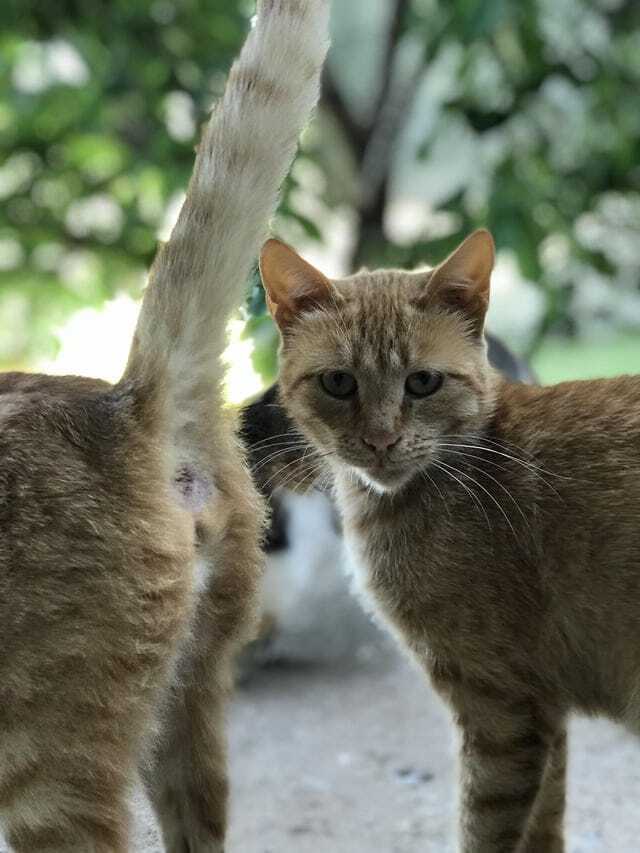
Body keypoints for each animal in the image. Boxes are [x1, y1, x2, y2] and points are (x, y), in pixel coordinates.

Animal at [260, 230, 640, 848]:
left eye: (423, 382)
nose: (381, 440)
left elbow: (483, 826)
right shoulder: (545, 712)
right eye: (339, 382)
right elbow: (545, 824)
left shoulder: (502, 708)